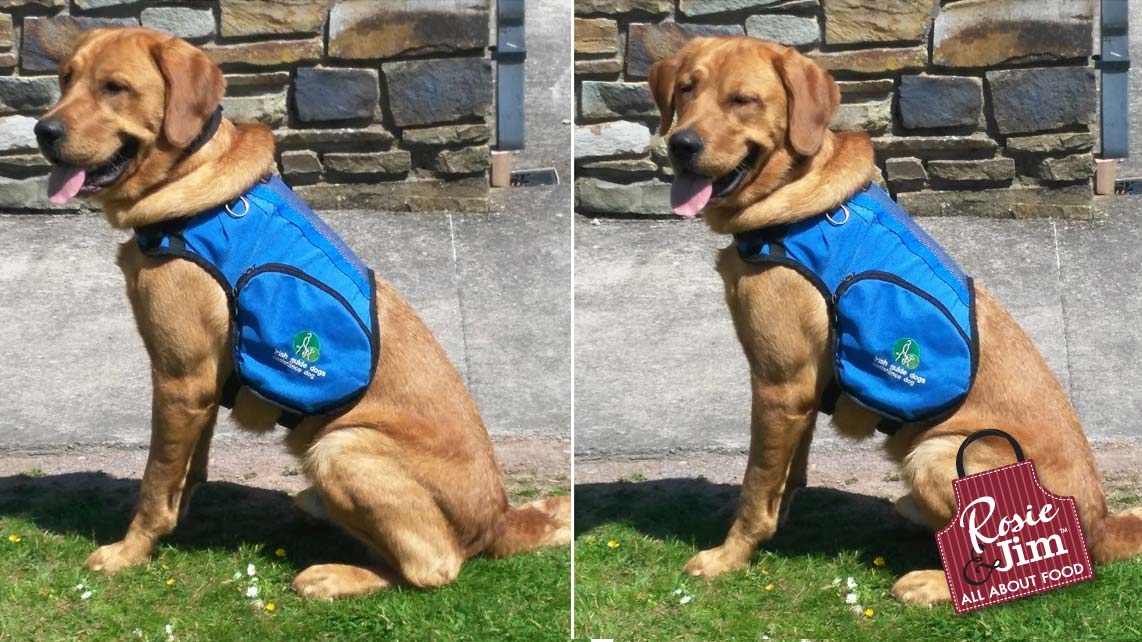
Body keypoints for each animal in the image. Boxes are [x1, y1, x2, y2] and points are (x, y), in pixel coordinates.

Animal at [33, 27, 568, 598]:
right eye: (65, 78)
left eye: (115, 87)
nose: (42, 130)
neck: (187, 194)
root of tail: (501, 518)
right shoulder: (200, 384)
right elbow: (187, 468)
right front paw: (180, 515)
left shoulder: (180, 380)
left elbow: (154, 483)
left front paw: (130, 551)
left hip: (340, 446)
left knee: (434, 568)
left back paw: (335, 575)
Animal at [648, 37, 1137, 603]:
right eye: (688, 88)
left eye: (743, 100)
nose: (681, 144)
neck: (791, 208)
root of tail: (1101, 523)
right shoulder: (801, 390)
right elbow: (786, 475)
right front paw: (779, 520)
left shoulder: (779, 385)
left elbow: (755, 486)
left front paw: (729, 557)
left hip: (939, 452)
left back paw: (931, 582)